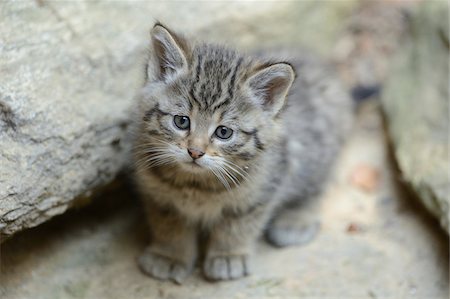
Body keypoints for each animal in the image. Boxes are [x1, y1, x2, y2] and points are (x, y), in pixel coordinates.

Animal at [132, 22, 354, 284]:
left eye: (224, 132)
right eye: (181, 121)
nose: (195, 152)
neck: (197, 185)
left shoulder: (264, 188)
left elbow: (238, 224)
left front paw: (228, 256)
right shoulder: (157, 193)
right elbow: (168, 224)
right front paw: (169, 256)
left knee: (319, 183)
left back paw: (296, 220)